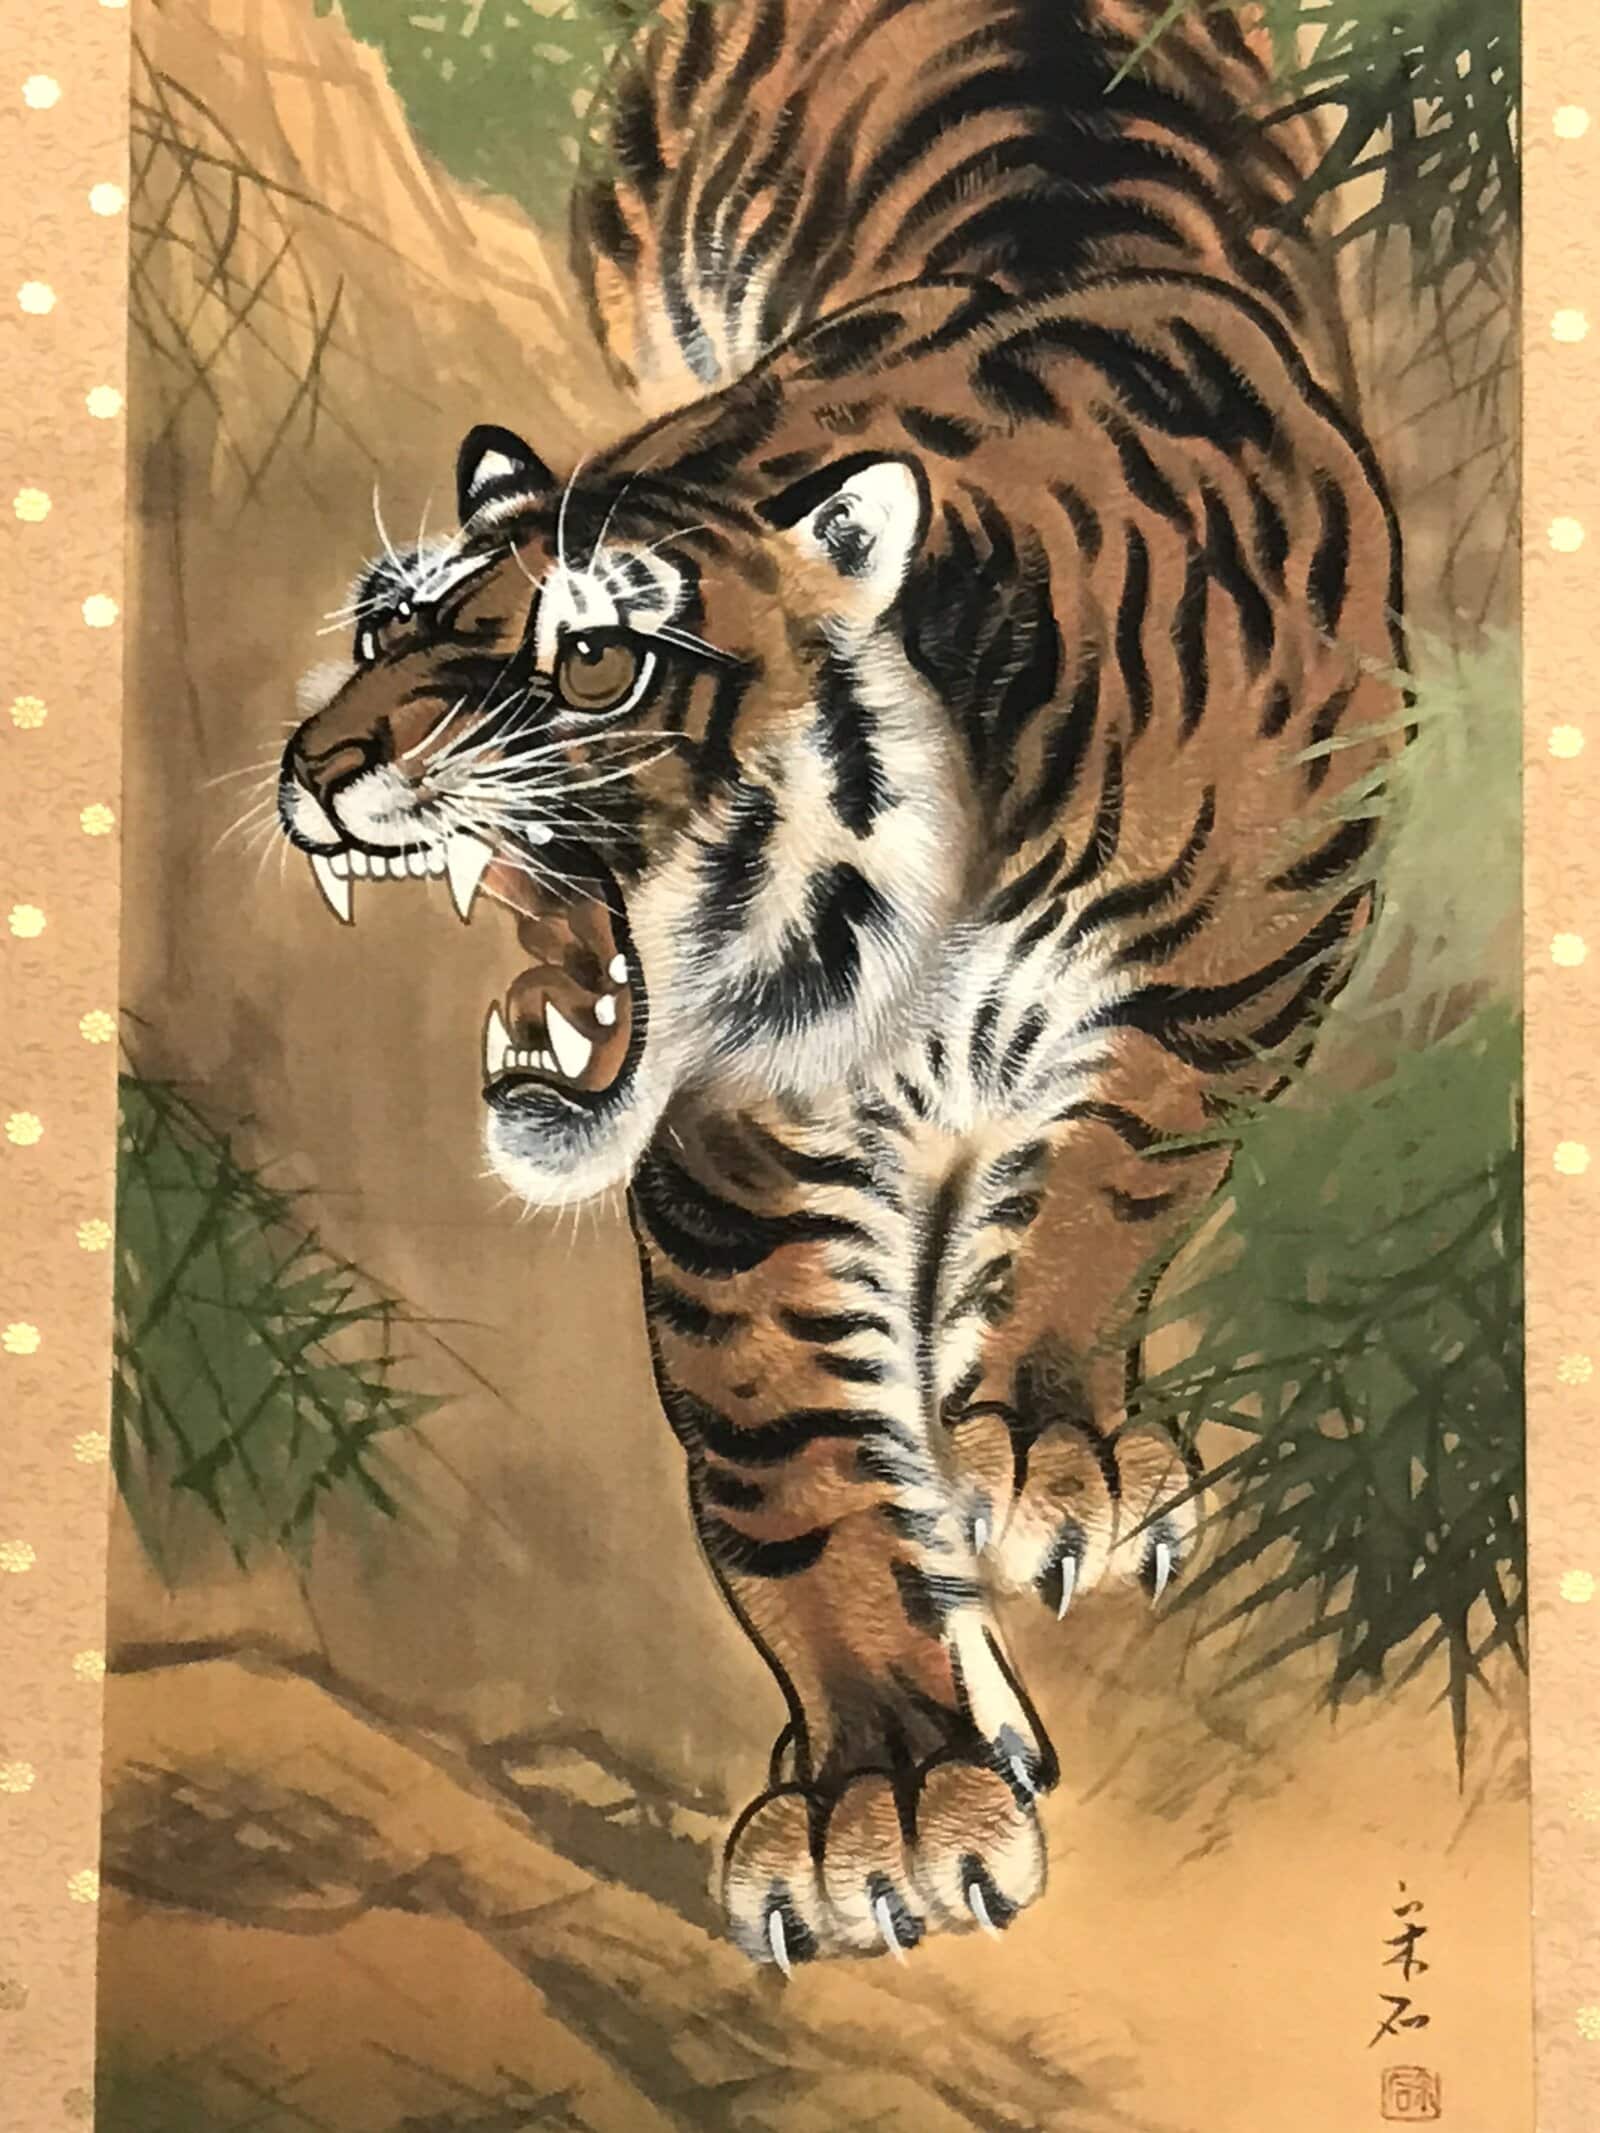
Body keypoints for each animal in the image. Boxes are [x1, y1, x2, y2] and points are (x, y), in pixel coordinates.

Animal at [276, 0, 1404, 1969]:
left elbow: (1107, 1183)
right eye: (382, 626)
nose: (316, 764)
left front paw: (1040, 1448)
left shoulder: (1249, 963)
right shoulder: (750, 1129)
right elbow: (790, 1446)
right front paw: (884, 1793)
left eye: (595, 657)